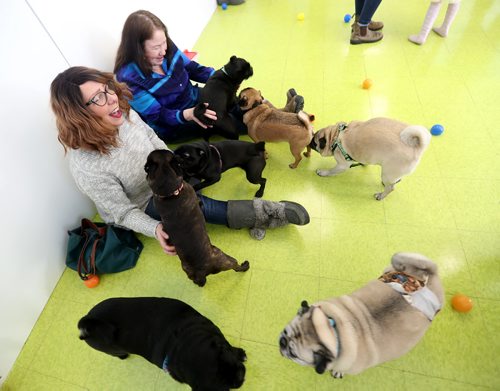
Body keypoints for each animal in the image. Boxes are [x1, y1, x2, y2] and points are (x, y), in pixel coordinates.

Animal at [77, 298, 247, 390]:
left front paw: (239, 353)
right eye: (220, 386)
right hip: (111, 349)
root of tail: (88, 321)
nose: (240, 377)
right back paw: (123, 356)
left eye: (227, 356)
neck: (181, 342)